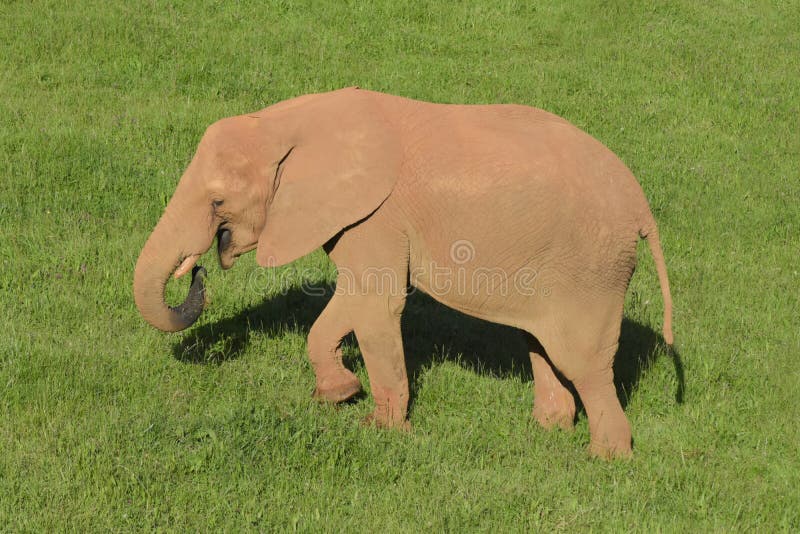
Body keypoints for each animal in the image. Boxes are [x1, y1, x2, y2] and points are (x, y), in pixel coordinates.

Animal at [133, 87, 673, 459]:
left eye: (217, 201)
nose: (200, 270)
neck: (290, 123)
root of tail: (643, 207)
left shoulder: (377, 214)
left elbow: (377, 303)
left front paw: (379, 430)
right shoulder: (356, 219)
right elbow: (350, 299)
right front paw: (337, 395)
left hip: (592, 267)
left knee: (582, 360)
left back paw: (606, 458)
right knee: (541, 343)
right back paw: (549, 429)